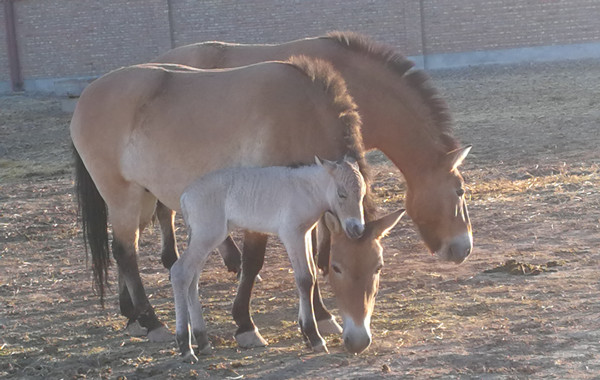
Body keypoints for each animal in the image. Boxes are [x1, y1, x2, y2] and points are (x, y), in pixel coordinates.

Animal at [173, 158, 366, 362]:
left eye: (362, 194)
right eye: (341, 194)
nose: (357, 229)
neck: (305, 189)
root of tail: (185, 196)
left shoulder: (304, 234)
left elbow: (312, 276)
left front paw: (305, 334)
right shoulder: (292, 235)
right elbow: (304, 279)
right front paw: (314, 337)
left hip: (208, 237)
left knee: (192, 277)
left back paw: (203, 341)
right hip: (207, 235)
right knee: (180, 272)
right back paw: (186, 347)